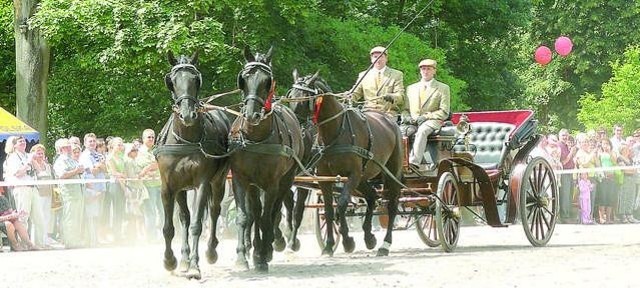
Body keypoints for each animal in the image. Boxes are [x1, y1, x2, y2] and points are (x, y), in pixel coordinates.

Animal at [154, 51, 230, 280]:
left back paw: (210, 251)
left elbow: (197, 224)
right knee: (184, 218)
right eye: (172, 81)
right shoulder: (168, 186)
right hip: (181, 189)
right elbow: (170, 227)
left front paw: (195, 267)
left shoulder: (202, 184)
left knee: (214, 211)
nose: (187, 115)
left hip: (219, 181)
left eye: (196, 79)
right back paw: (184, 260)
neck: (185, 140)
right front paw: (171, 261)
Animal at [231, 46, 306, 272]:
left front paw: (263, 256)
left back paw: (272, 244)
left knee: (275, 210)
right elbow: (246, 216)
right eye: (244, 79)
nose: (252, 115)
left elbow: (266, 217)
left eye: (267, 81)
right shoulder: (242, 180)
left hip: (286, 180)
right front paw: (244, 256)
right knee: (259, 211)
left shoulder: (272, 183)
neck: (256, 138)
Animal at [288, 71, 402, 256]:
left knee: (392, 205)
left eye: (305, 98)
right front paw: (328, 246)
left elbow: (341, 204)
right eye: (290, 96)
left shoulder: (352, 175)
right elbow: (328, 210)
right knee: (372, 196)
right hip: (363, 178)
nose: (294, 126)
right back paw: (369, 237)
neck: (336, 131)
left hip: (392, 174)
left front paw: (348, 241)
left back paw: (385, 245)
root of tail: (389, 120)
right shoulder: (323, 177)